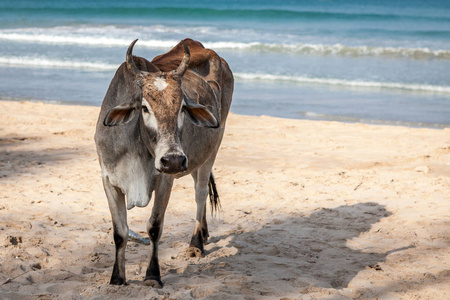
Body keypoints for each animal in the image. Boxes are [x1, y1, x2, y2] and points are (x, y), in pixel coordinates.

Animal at [93, 38, 234, 288]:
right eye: (144, 107)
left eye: (182, 108)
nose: (174, 160)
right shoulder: (108, 180)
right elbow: (120, 232)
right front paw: (117, 278)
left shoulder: (165, 181)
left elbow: (154, 227)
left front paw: (152, 275)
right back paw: (205, 234)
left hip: (211, 151)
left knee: (200, 194)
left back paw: (196, 243)